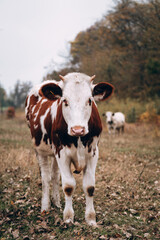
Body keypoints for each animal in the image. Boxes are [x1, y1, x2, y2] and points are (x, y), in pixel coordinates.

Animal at [25, 72, 114, 226]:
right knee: (46, 178)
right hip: (40, 150)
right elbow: (68, 186)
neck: (78, 139)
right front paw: (68, 217)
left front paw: (91, 218)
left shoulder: (93, 153)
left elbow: (89, 186)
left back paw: (56, 202)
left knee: (54, 176)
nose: (77, 129)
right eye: (65, 100)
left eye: (89, 100)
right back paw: (45, 206)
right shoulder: (62, 153)